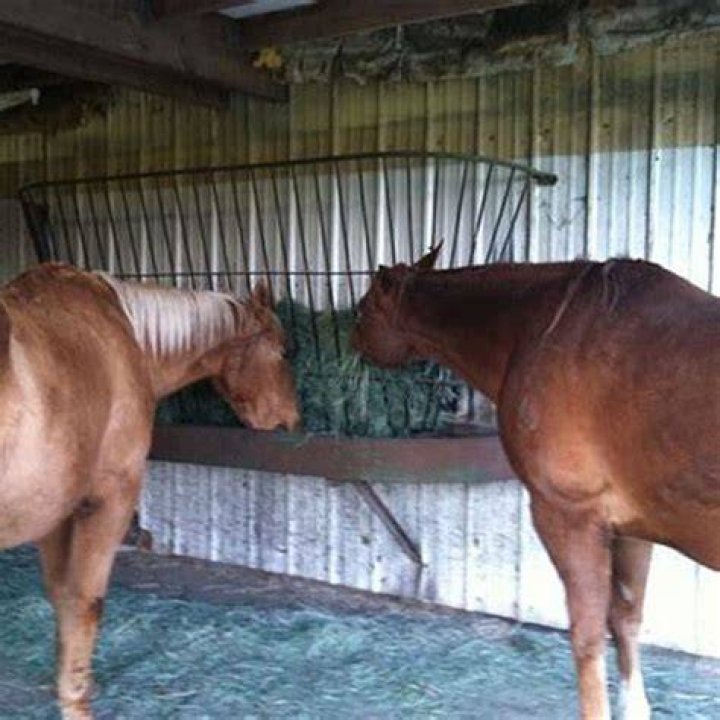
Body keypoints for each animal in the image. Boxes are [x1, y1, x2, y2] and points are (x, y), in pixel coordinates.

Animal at [0, 262, 299, 719]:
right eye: (283, 352)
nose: (292, 420)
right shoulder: (110, 499)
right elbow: (84, 602)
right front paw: (76, 699)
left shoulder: (54, 511)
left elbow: (61, 596)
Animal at [351, 245, 720, 720]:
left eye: (362, 310)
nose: (351, 342)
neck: (544, 326)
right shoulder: (636, 527)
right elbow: (626, 619)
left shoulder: (567, 516)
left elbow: (587, 637)